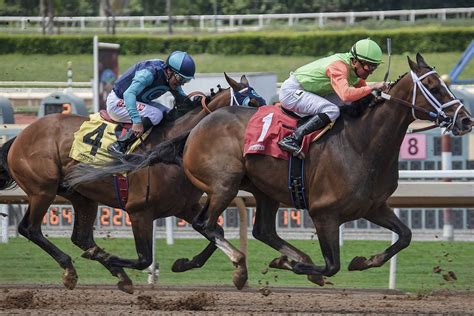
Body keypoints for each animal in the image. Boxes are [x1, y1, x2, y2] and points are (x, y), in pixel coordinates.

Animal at [0, 73, 266, 294]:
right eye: (252, 103)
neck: (171, 149)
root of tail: (20, 136)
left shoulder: (184, 207)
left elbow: (214, 231)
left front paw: (186, 264)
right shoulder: (139, 211)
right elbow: (144, 259)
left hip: (82, 197)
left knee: (81, 237)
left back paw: (114, 272)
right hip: (42, 190)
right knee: (30, 229)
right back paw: (70, 269)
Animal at [105, 54, 472, 288]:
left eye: (445, 85)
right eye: (435, 88)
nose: (466, 120)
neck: (361, 144)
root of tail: (195, 128)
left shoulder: (374, 206)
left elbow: (405, 236)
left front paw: (360, 262)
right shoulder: (325, 214)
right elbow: (332, 264)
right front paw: (295, 265)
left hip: (264, 191)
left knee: (260, 231)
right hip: (224, 184)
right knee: (206, 223)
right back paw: (234, 266)